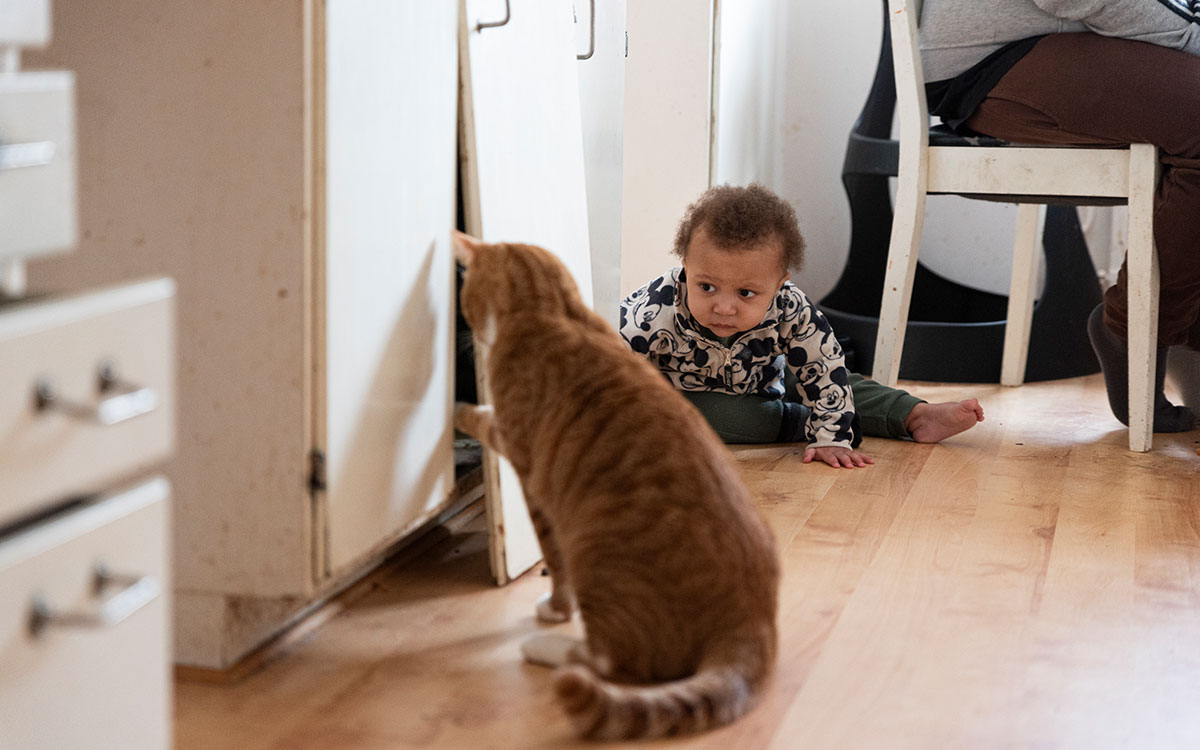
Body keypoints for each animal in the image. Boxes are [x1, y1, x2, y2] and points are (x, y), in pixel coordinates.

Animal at [451, 231, 777, 739]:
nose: (467, 335)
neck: (553, 308)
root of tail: (752, 620)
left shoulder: (525, 467)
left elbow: (552, 558)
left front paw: (458, 411)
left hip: (596, 561)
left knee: (604, 661)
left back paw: (542, 647)